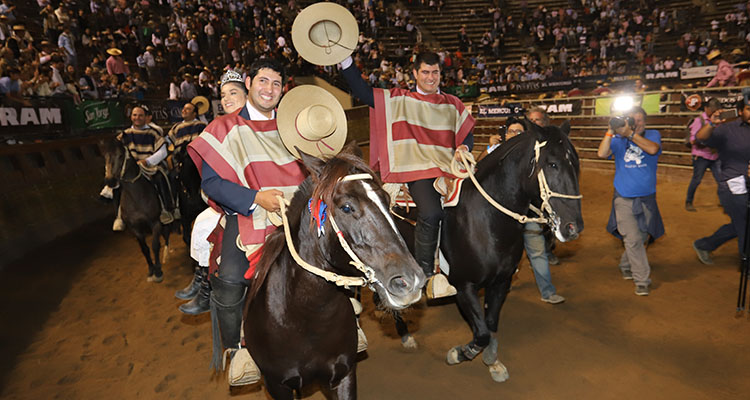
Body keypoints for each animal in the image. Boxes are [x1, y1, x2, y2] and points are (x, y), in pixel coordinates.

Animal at [103, 139, 172, 282]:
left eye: (120, 155)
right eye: (104, 156)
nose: (110, 181)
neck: (137, 196)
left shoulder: (155, 223)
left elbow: (155, 245)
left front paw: (158, 272)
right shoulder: (135, 228)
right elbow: (145, 249)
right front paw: (151, 270)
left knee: (167, 231)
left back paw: (166, 254)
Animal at [244, 148, 426, 400]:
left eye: (387, 201)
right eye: (346, 207)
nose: (410, 280)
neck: (305, 317)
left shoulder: (343, 375)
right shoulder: (277, 386)